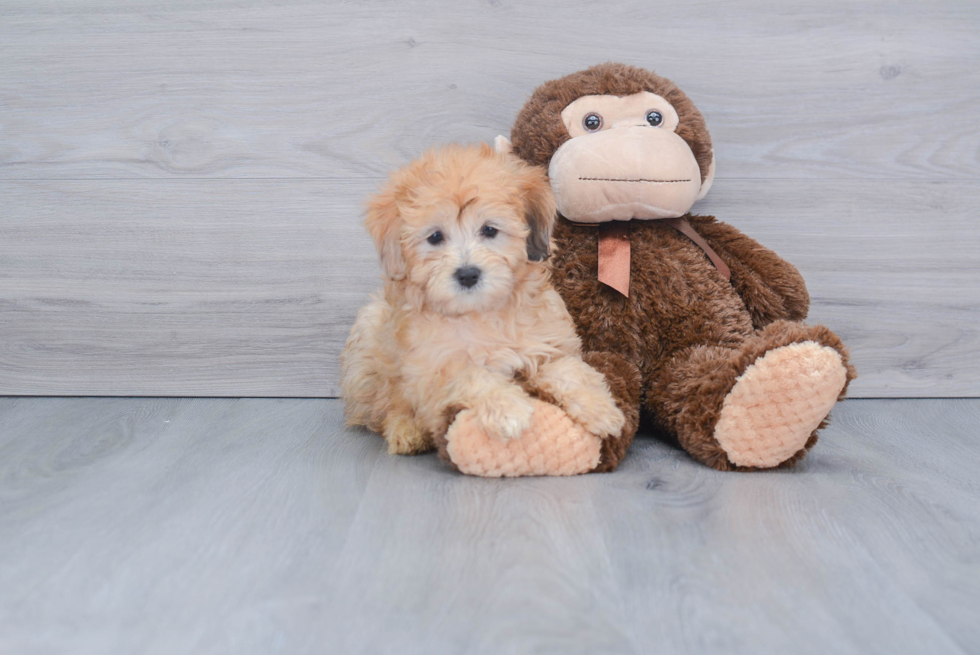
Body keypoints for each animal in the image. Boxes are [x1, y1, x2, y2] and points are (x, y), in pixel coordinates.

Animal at [340, 143, 624, 454]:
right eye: (435, 237)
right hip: (369, 344)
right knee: (385, 405)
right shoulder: (430, 370)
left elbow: (568, 369)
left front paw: (600, 408)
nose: (467, 274)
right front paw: (509, 409)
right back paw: (406, 430)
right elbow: (471, 375)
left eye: (489, 230)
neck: (482, 313)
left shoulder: (550, 343)